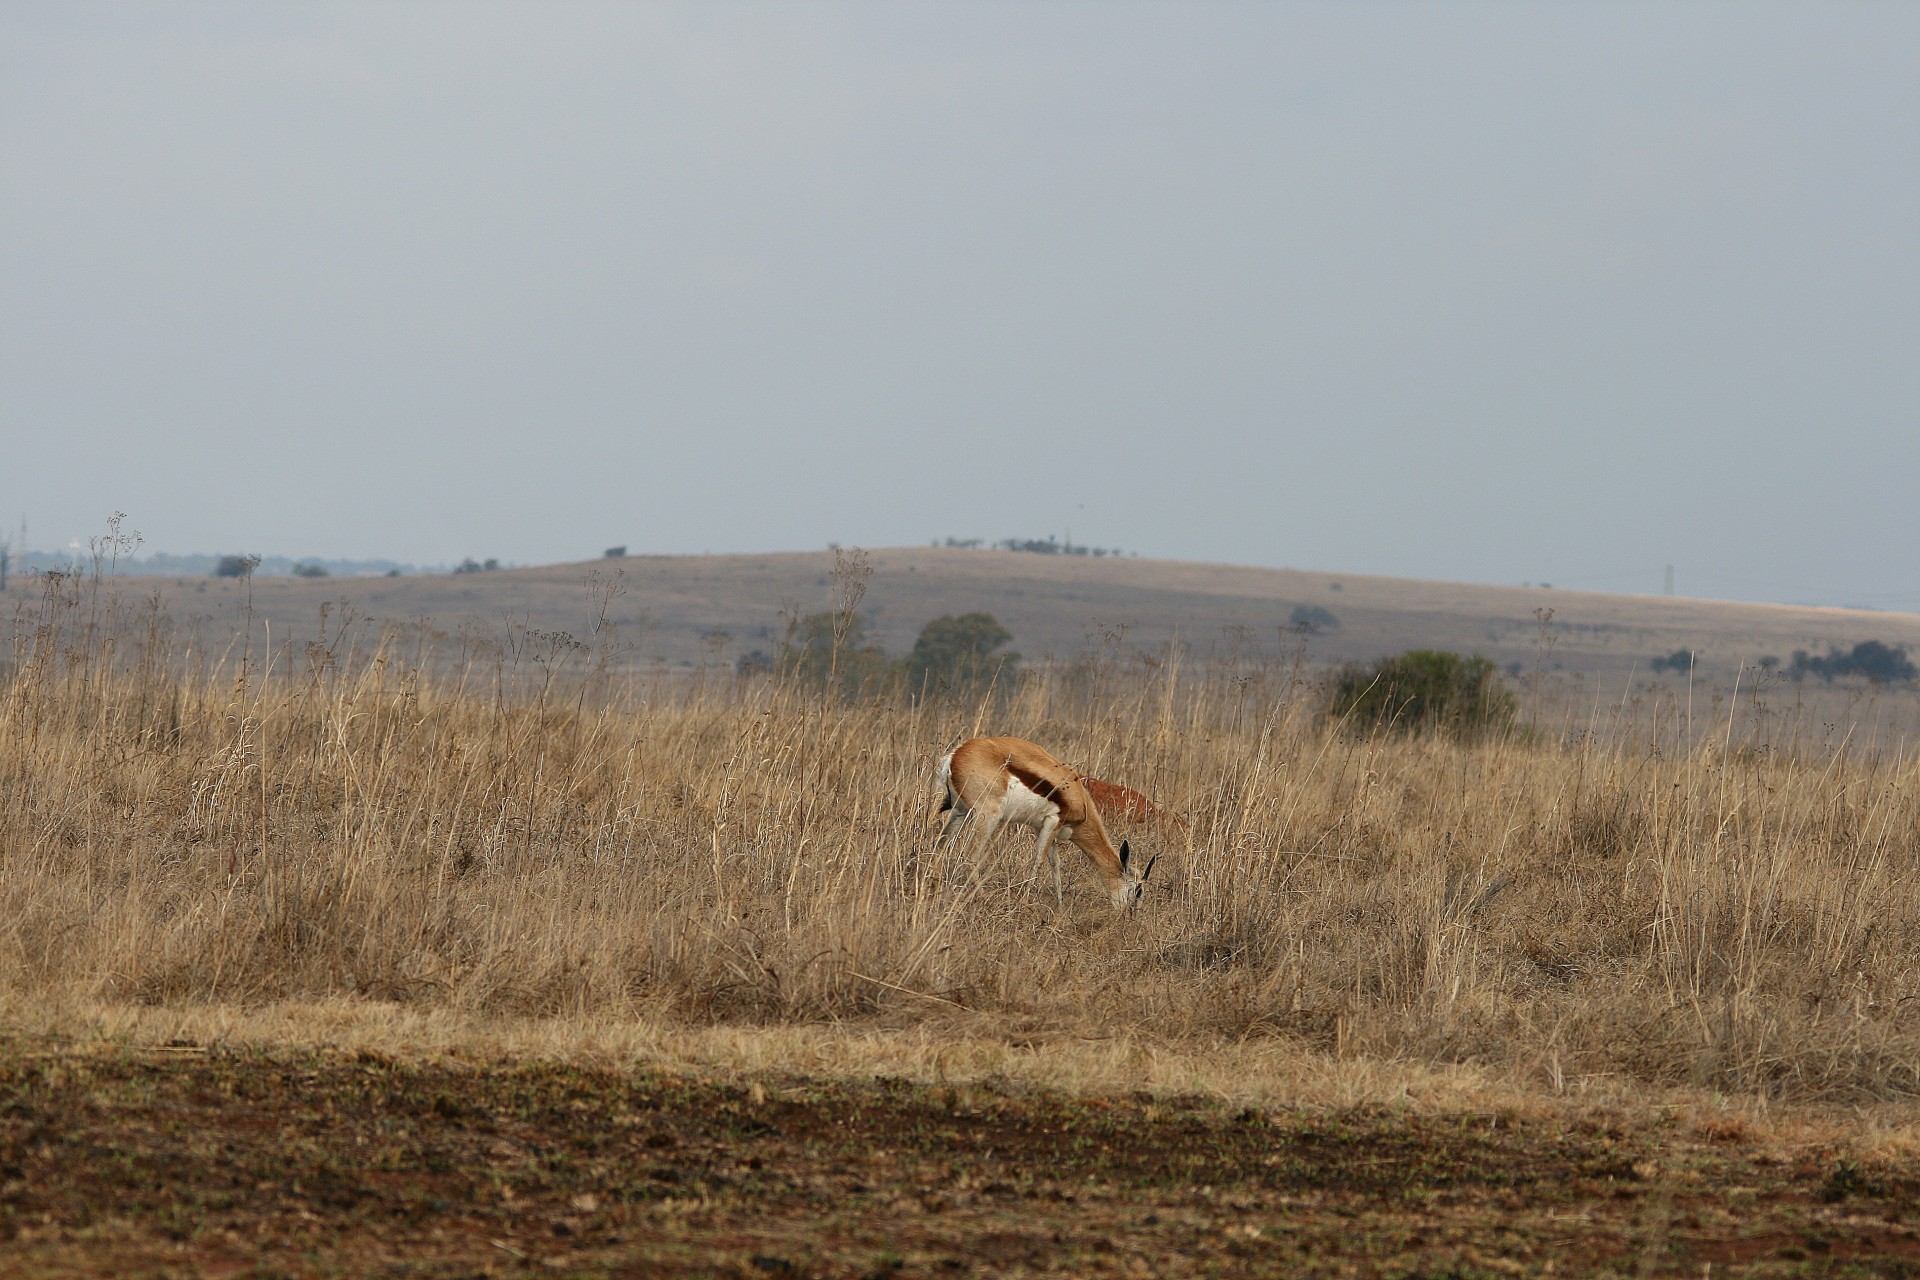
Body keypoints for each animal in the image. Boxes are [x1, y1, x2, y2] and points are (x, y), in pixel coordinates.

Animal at [933, 740, 1152, 909]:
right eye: (1137, 890)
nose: (1130, 914)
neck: (1080, 798)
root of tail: (955, 755)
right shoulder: (1053, 822)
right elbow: (1038, 860)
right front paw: (1025, 900)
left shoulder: (1042, 827)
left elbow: (1055, 863)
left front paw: (1060, 906)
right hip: (988, 817)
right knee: (970, 856)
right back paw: (983, 897)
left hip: (960, 811)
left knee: (940, 846)